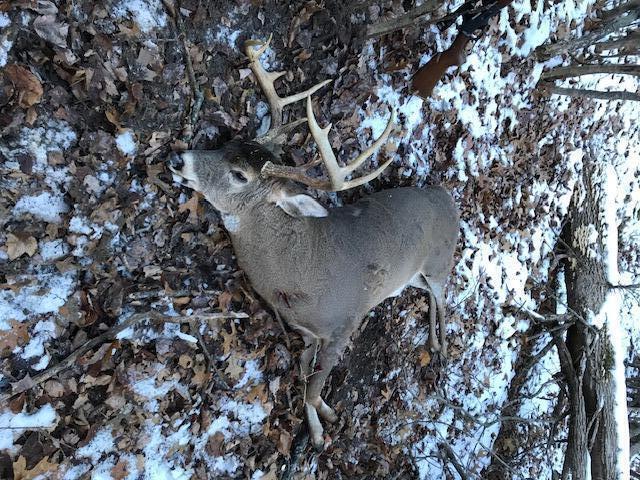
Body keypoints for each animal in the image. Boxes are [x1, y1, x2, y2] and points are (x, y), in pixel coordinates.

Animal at [168, 37, 459, 450]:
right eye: (225, 145)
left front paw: (322, 431)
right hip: (412, 275)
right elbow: (306, 373)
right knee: (429, 294)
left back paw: (442, 346)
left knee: (444, 296)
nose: (178, 158)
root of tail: (447, 195)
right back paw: (433, 342)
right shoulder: (307, 333)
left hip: (439, 260)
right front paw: (322, 414)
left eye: (239, 175)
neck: (298, 272)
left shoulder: (346, 322)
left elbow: (313, 384)